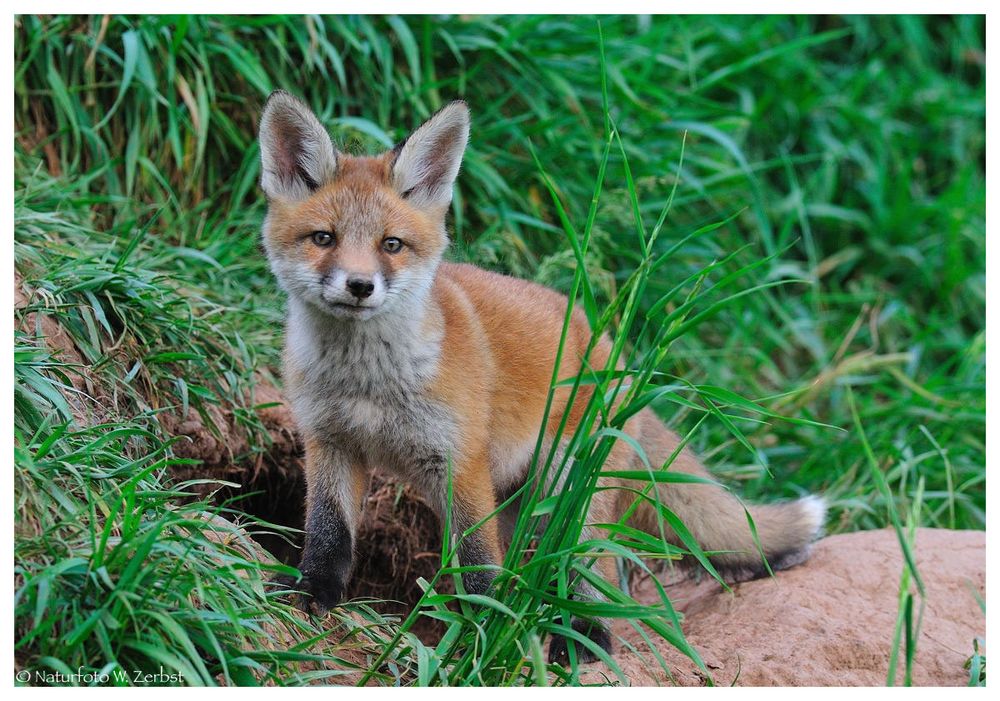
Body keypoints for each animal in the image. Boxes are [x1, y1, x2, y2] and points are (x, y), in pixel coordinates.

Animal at [260, 90, 828, 660]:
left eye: (391, 245)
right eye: (324, 238)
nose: (359, 286)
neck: (369, 384)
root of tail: (608, 347)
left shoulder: (460, 461)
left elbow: (478, 565)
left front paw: (484, 635)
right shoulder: (331, 441)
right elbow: (329, 533)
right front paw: (313, 591)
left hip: (571, 489)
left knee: (590, 568)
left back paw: (583, 640)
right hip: (519, 498)